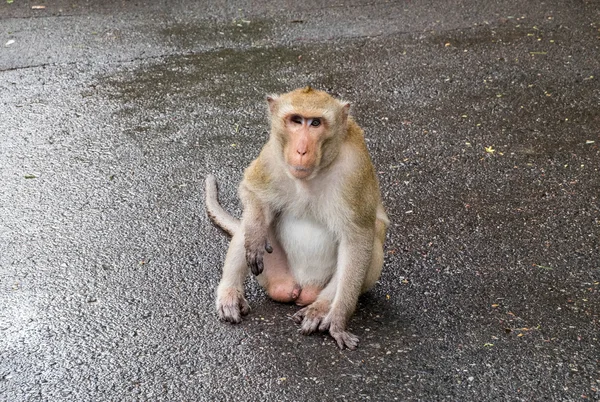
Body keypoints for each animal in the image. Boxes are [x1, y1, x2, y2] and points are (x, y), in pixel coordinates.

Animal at [206, 87, 390, 348]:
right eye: (295, 120)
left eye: (315, 123)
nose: (301, 150)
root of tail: (301, 287)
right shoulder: (271, 153)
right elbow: (251, 191)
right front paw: (255, 235)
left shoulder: (355, 170)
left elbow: (358, 240)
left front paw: (337, 319)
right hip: (273, 274)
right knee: (252, 220)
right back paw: (230, 293)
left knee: (370, 242)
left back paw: (320, 307)